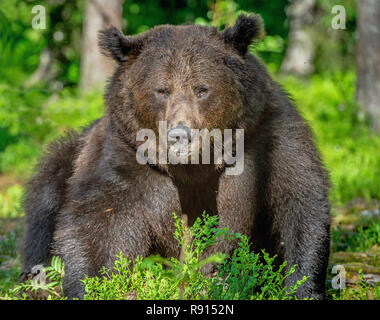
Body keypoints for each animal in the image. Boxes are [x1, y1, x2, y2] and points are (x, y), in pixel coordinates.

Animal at [20, 14, 330, 300]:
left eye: (202, 89)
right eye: (161, 90)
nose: (180, 135)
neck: (196, 167)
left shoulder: (270, 139)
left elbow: (298, 204)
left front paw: (302, 286)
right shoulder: (125, 157)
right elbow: (99, 221)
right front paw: (93, 286)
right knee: (45, 201)